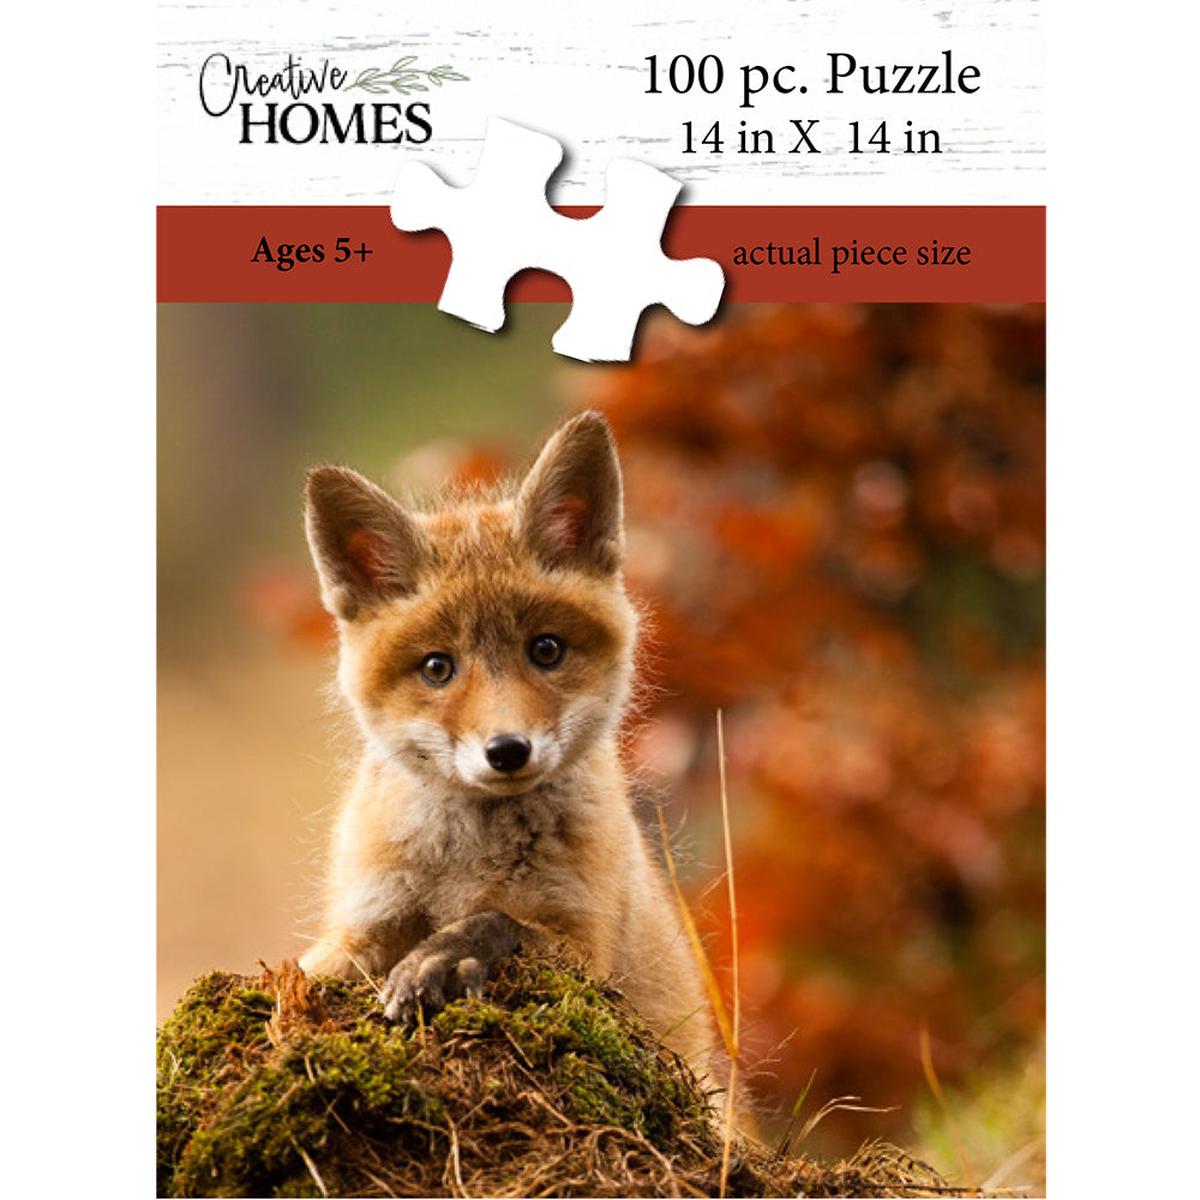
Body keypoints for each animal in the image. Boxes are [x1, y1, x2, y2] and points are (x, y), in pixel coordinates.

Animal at [297, 410, 718, 1078]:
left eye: (545, 649)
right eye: (437, 668)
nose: (508, 750)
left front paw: (441, 959)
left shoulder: (587, 949)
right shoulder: (363, 923)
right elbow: (302, 972)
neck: (465, 859)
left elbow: (497, 921)